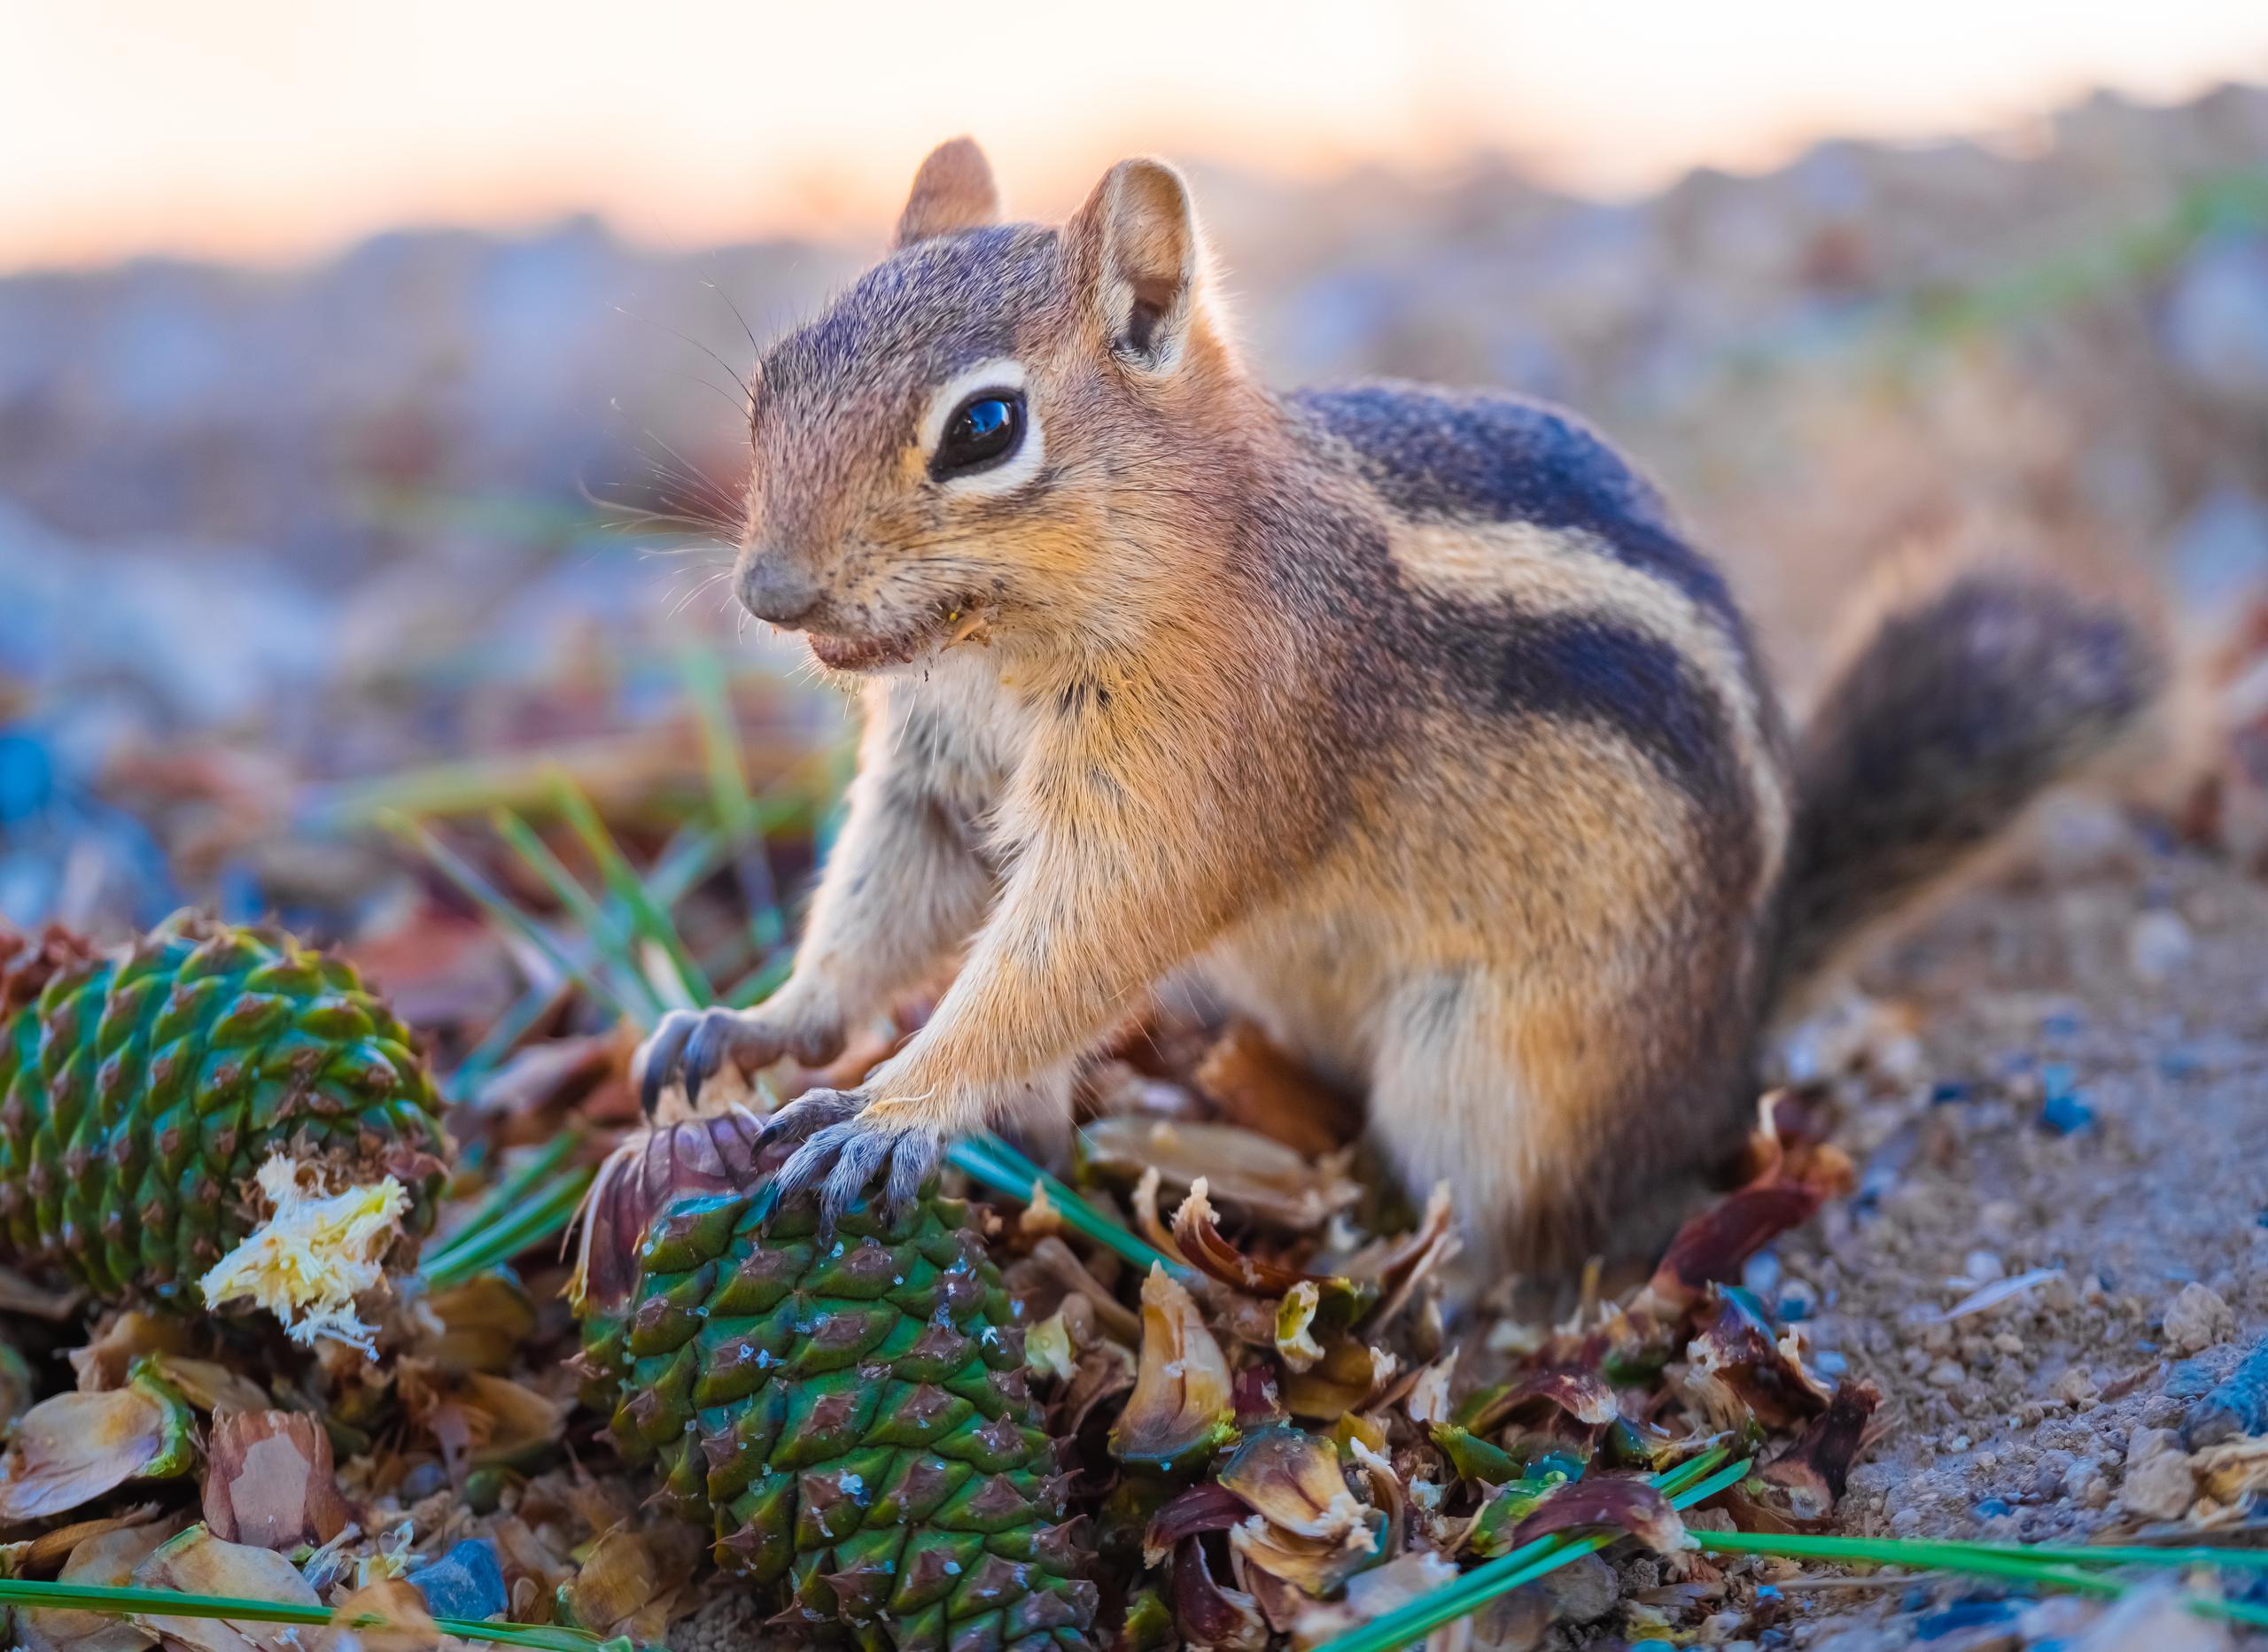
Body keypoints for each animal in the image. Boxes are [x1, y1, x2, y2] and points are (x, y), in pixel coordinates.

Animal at [639, 141, 2159, 1268]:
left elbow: (1076, 949)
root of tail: (1728, 1049)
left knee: (1538, 1230)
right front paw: (761, 1020)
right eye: (775, 375)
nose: (769, 592)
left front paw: (896, 1108)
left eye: (986, 429)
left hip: (1498, 1077)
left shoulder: (1201, 768)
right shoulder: (938, 767)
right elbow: (884, 899)